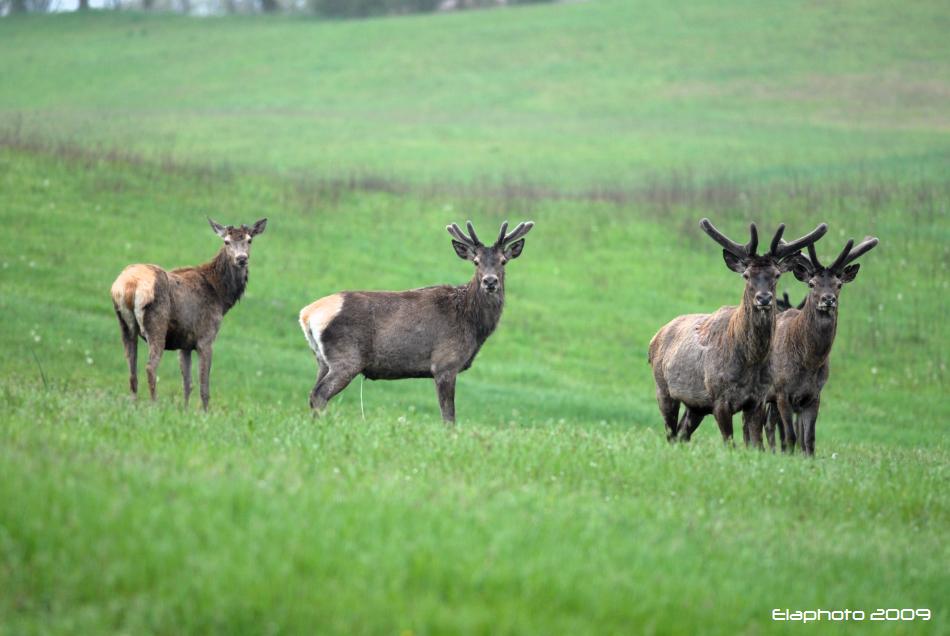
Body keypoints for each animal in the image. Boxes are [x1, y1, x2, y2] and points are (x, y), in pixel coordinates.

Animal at [111, 217, 268, 408]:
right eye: (226, 241)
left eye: (249, 240)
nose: (242, 258)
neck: (221, 297)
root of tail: (128, 285)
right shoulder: (205, 338)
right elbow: (204, 388)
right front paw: (204, 412)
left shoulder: (184, 343)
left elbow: (187, 384)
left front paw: (184, 411)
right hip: (157, 323)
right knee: (150, 367)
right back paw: (154, 405)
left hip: (124, 324)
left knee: (131, 367)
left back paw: (134, 405)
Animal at [300, 221, 536, 424]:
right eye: (476, 261)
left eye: (503, 261)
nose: (490, 281)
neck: (473, 325)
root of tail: (307, 314)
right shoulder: (444, 364)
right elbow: (449, 417)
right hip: (347, 357)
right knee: (319, 394)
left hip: (321, 360)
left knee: (312, 393)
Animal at [652, 221, 828, 444]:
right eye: (746, 275)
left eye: (777, 274)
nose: (764, 298)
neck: (749, 361)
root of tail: (656, 336)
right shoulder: (719, 398)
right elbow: (730, 443)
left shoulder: (757, 400)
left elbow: (756, 443)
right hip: (663, 390)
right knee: (671, 433)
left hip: (697, 404)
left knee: (683, 434)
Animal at [764, 236, 880, 454]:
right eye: (811, 283)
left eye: (839, 284)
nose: (828, 299)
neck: (808, 363)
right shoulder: (782, 392)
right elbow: (790, 436)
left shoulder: (814, 395)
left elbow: (809, 439)